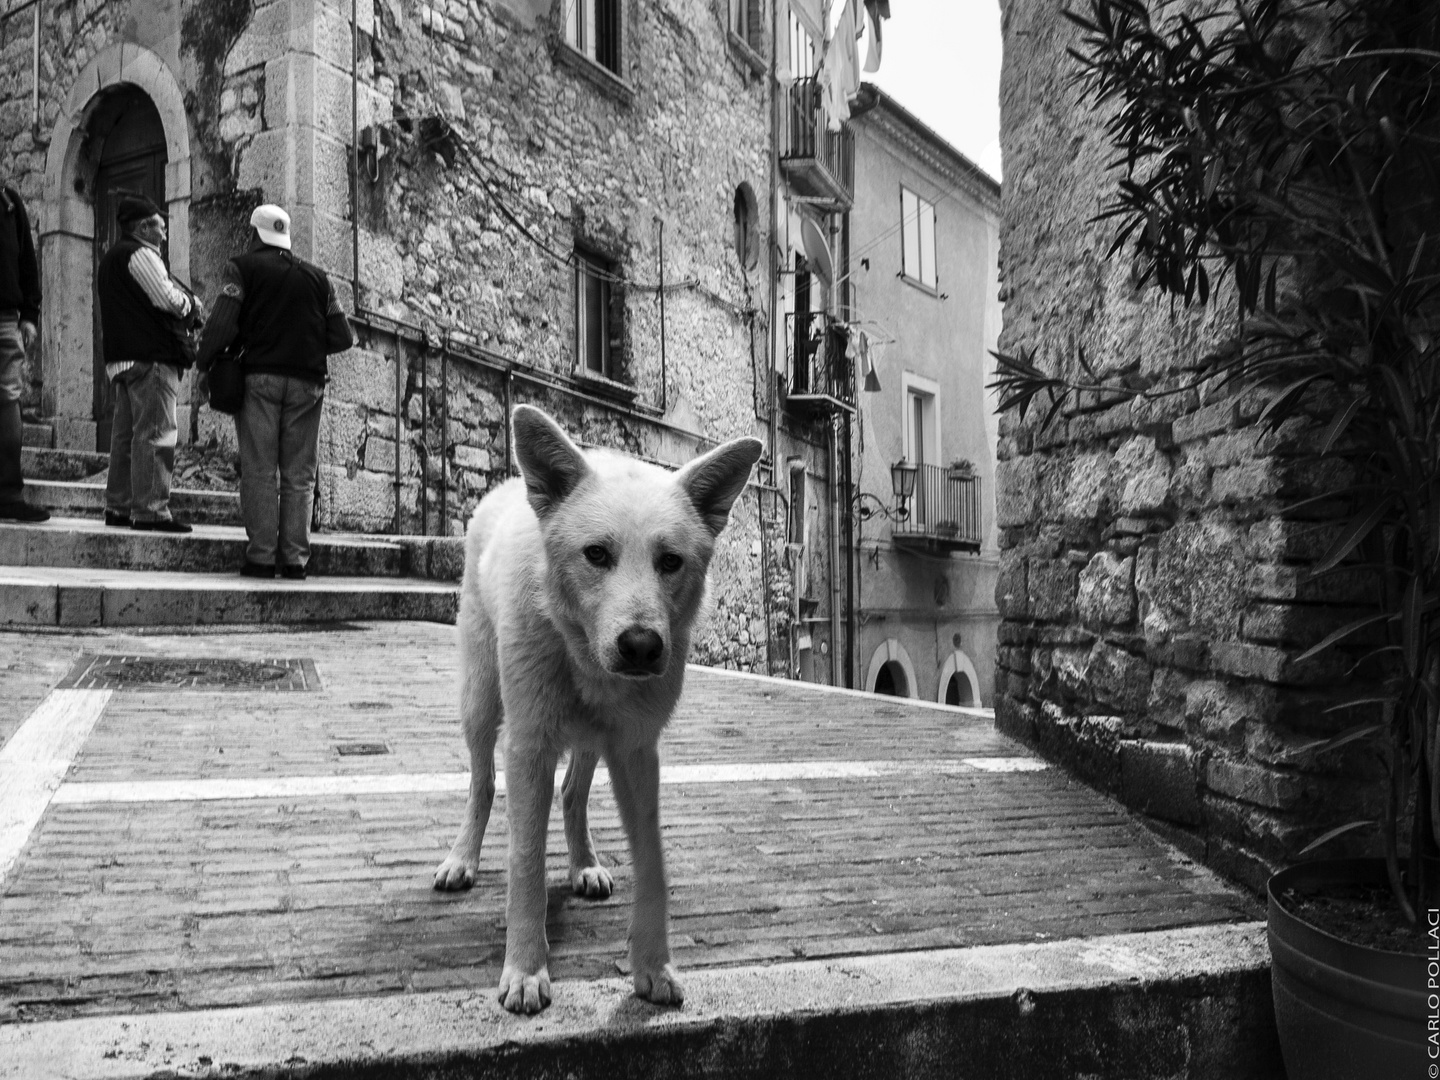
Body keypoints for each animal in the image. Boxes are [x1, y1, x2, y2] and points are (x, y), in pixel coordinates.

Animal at [432, 406, 766, 1013]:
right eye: (596, 554)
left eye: (670, 561)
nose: (641, 646)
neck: (581, 653)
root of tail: (509, 485)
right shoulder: (529, 746)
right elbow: (525, 861)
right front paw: (525, 969)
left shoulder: (636, 751)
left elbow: (653, 863)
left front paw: (653, 967)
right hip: (480, 703)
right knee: (482, 784)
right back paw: (462, 859)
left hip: (591, 739)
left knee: (572, 793)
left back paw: (584, 863)